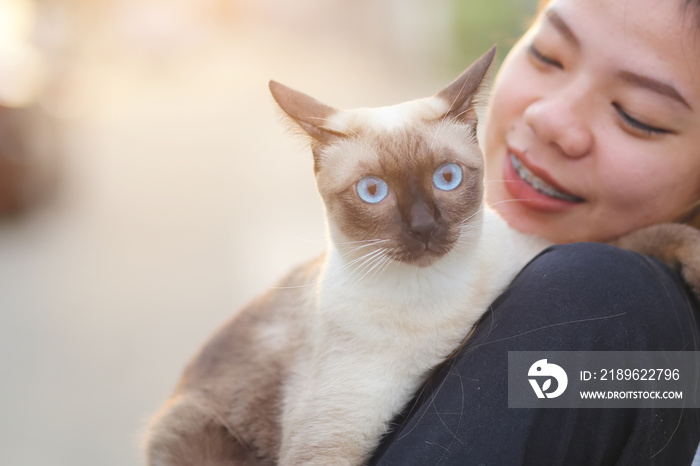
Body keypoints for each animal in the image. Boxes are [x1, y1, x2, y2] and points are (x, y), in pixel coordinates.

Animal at [144, 45, 700, 464]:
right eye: (372, 191)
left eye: (446, 178)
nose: (424, 227)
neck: (431, 306)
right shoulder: (327, 444)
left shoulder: (537, 253)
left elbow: (633, 237)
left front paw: (693, 258)